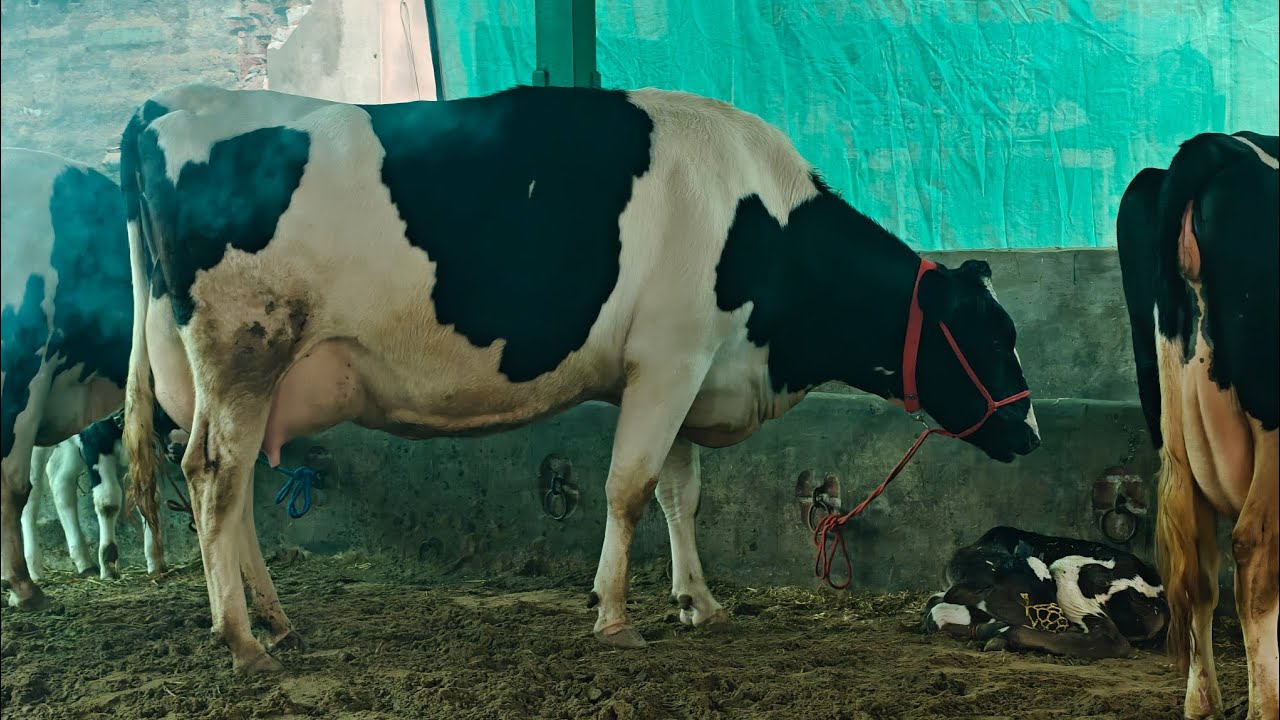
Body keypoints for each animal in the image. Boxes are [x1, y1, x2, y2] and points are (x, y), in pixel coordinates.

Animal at [119, 83, 1041, 675]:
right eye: (993, 334)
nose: (1030, 432)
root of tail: (169, 107)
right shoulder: (668, 358)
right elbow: (628, 489)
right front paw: (615, 616)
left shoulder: (690, 371)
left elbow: (679, 495)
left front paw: (698, 603)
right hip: (245, 347)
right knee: (214, 477)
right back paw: (241, 641)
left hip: (226, 375)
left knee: (231, 487)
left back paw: (273, 623)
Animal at [923, 526, 1168, 659]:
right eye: (1024, 595)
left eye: (1050, 588)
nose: (1058, 620)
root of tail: (1161, 601)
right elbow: (934, 602)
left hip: (1066, 567)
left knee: (1110, 639)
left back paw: (1005, 635)